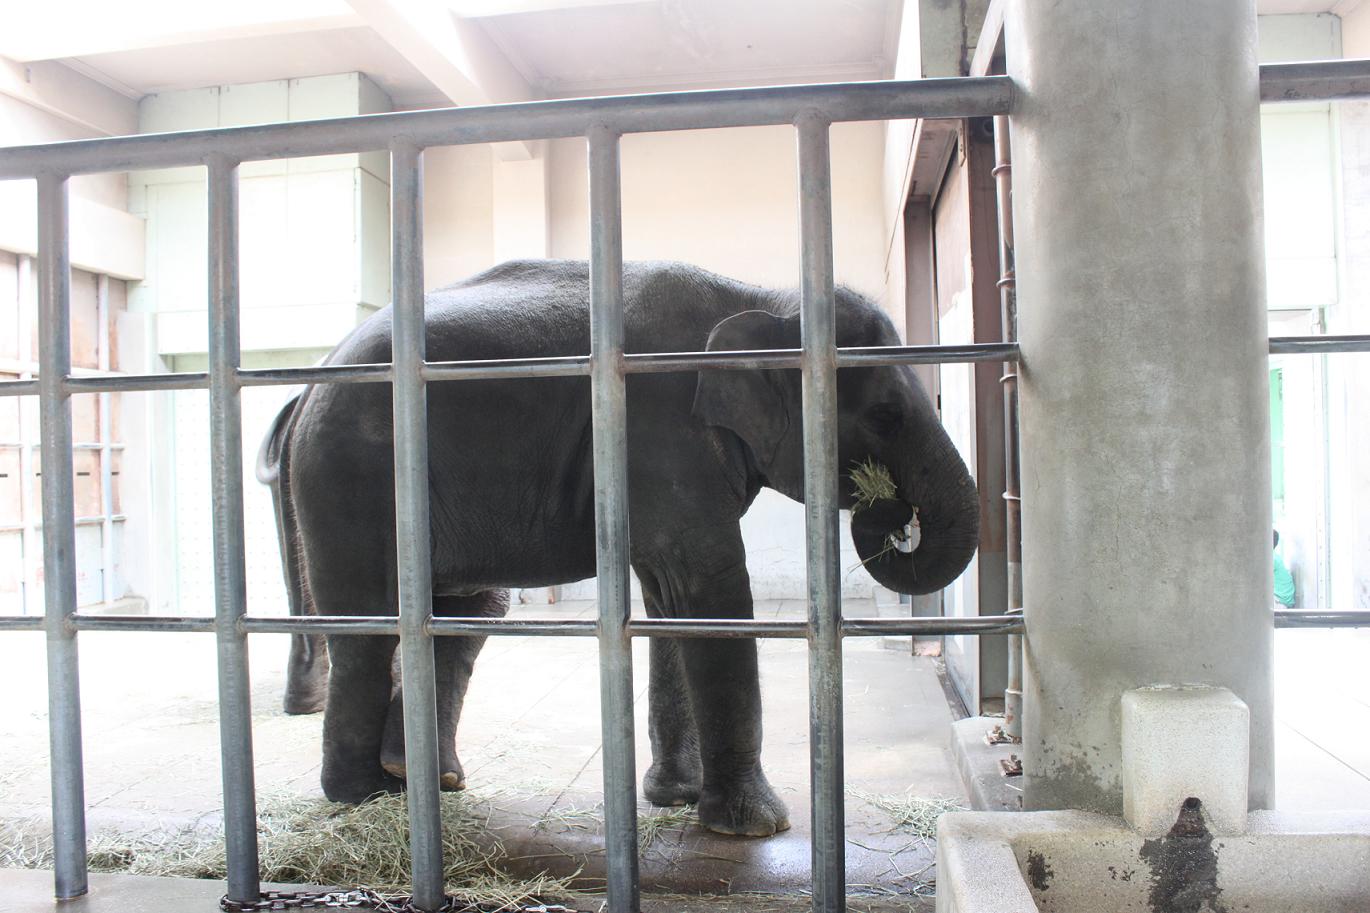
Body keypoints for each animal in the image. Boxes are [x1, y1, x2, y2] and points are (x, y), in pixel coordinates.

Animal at [257, 258, 979, 837]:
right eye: (886, 414)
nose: (889, 515)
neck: (767, 297)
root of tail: (311, 379)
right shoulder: (660, 428)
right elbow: (710, 586)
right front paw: (756, 828)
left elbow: (670, 601)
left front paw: (677, 799)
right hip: (350, 475)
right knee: (369, 623)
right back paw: (363, 798)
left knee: (466, 615)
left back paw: (428, 782)